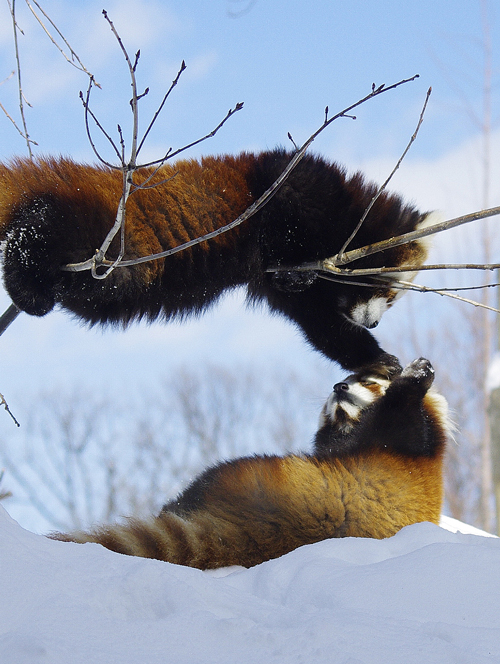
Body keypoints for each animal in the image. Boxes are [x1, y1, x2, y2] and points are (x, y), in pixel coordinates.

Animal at [0, 151, 436, 376]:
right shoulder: (289, 179)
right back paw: (24, 281)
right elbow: (285, 214)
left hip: (109, 274)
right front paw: (292, 267)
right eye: (386, 290)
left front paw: (375, 359)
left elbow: (323, 327)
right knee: (46, 222)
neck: (347, 212)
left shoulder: (290, 290)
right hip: (102, 225)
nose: (375, 323)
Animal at [50, 358, 450, 572]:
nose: (339, 386)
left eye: (366, 382)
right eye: (344, 382)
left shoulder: (404, 440)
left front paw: (417, 375)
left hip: (250, 474)